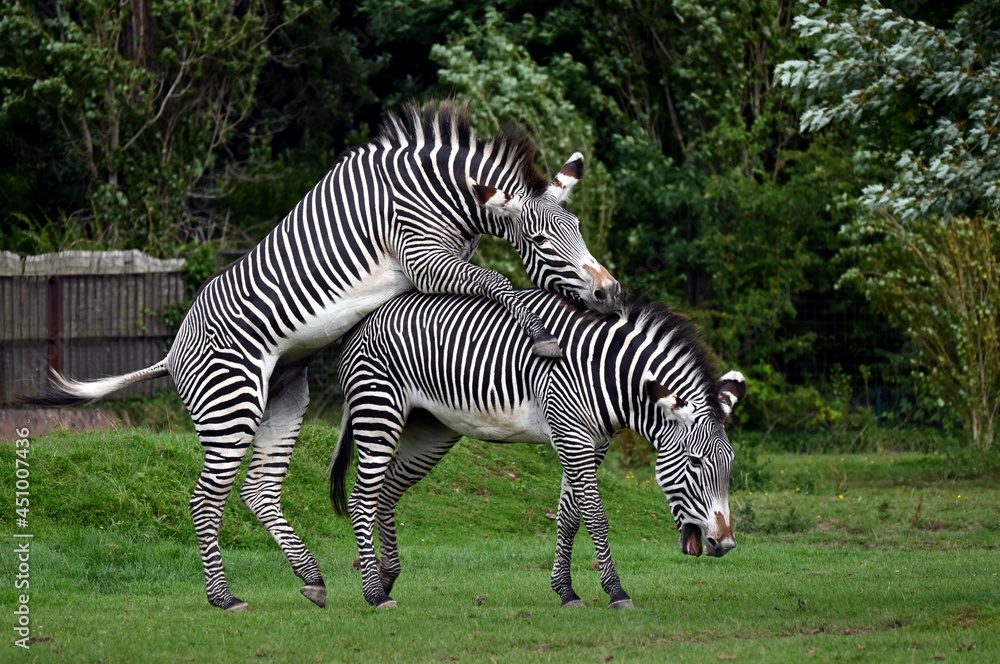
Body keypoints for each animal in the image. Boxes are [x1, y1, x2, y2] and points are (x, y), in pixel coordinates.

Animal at [19, 100, 616, 612]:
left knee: (258, 491)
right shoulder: (423, 259)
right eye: (540, 241)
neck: (440, 192)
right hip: (231, 404)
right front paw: (540, 334)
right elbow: (497, 282)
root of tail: (171, 352)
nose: (609, 293)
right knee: (206, 497)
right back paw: (224, 597)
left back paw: (311, 578)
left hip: (283, 397)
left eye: (579, 230)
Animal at [332, 288, 748, 608]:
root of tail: (365, 320)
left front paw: (566, 592)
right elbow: (596, 516)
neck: (608, 374)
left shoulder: (591, 444)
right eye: (695, 463)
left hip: (430, 432)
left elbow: (570, 517)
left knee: (386, 493)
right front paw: (615, 592)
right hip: (378, 410)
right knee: (361, 500)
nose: (726, 544)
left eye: (729, 463)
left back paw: (386, 578)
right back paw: (374, 593)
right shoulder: (570, 436)